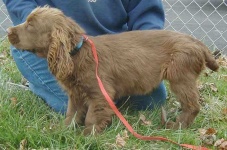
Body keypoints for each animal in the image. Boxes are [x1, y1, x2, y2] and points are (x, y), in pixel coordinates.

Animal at [7, 6, 218, 135]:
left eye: (30, 25)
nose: (8, 31)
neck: (77, 53)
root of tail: (198, 43)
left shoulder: (101, 93)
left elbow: (91, 117)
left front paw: (87, 136)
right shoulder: (76, 94)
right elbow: (71, 114)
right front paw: (63, 131)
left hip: (180, 76)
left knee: (192, 105)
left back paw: (177, 126)